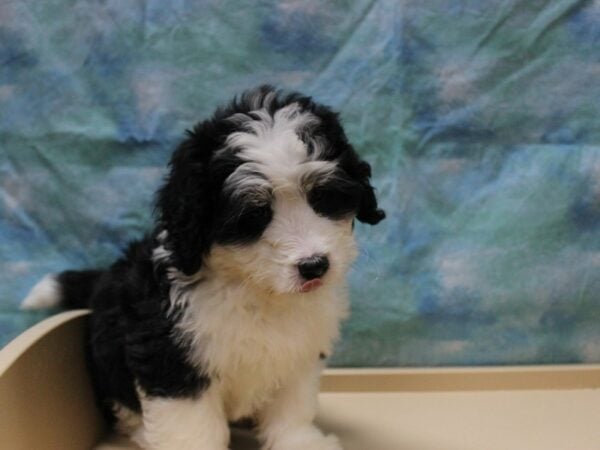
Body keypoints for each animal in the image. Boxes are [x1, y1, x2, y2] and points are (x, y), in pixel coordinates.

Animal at [22, 85, 384, 450]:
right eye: (254, 216)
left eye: (322, 197)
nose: (314, 266)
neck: (254, 287)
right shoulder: (171, 355)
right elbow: (190, 422)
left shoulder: (299, 353)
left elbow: (291, 407)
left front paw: (300, 441)